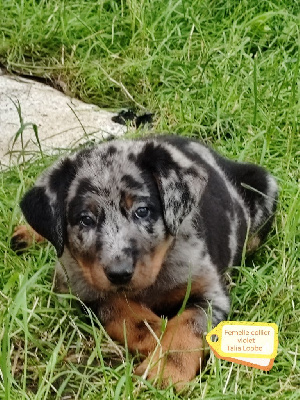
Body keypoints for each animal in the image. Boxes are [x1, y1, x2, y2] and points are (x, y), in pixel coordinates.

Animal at [12, 137, 278, 388]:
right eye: (85, 219)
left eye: (142, 211)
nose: (119, 273)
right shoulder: (79, 287)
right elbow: (125, 312)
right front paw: (158, 333)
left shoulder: (210, 292)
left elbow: (186, 326)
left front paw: (164, 372)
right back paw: (27, 235)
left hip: (265, 187)